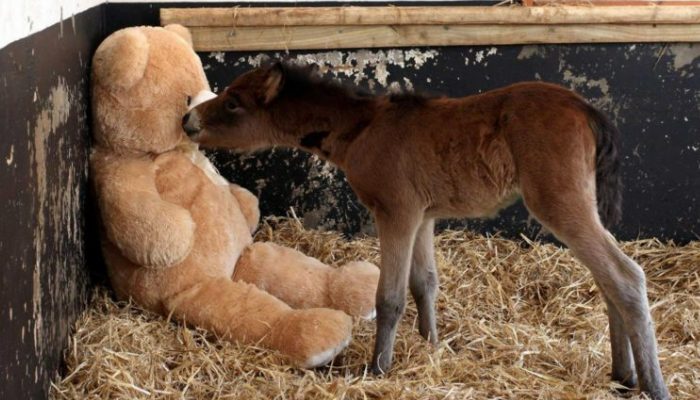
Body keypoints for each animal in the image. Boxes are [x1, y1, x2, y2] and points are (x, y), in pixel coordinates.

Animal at [182, 62, 670, 400]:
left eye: (233, 102)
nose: (187, 121)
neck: (362, 129)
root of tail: (587, 109)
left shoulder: (395, 211)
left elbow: (391, 296)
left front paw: (379, 369)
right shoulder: (424, 215)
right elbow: (425, 282)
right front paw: (431, 346)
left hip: (560, 202)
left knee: (626, 276)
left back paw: (653, 384)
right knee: (607, 280)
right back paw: (623, 375)